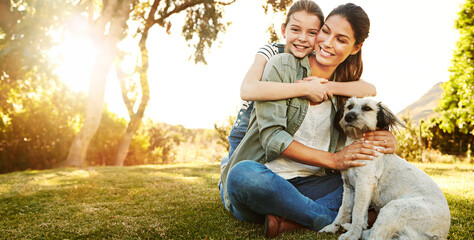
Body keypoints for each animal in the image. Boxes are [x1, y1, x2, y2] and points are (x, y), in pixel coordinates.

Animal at [320, 98, 450, 240]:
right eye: (349, 107)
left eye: (367, 108)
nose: (348, 117)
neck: (358, 141)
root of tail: (442, 233)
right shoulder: (349, 186)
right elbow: (344, 210)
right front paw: (333, 227)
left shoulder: (364, 185)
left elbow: (357, 212)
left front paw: (352, 234)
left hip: (393, 208)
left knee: (376, 236)